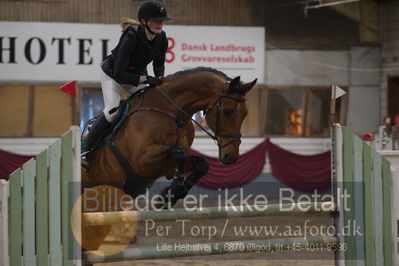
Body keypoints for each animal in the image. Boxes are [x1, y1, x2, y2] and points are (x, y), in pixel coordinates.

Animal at [80, 68, 258, 256]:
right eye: (227, 111)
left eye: (245, 113)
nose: (230, 157)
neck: (172, 112)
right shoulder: (143, 160)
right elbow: (178, 152)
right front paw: (170, 192)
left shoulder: (166, 166)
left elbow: (201, 164)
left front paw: (169, 196)